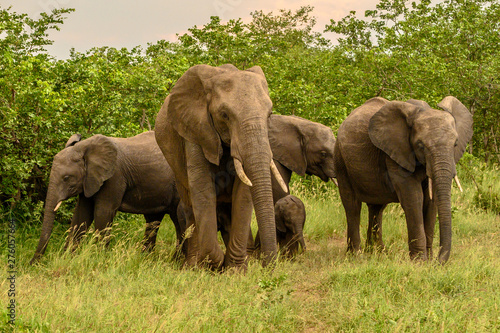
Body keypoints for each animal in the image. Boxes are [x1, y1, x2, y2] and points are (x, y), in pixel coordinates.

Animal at [30, 131, 181, 264]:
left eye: (66, 178)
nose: (33, 264)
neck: (84, 148)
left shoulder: (114, 177)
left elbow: (102, 213)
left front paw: (100, 259)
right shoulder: (89, 180)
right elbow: (81, 215)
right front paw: (67, 258)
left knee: (177, 220)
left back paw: (175, 261)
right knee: (153, 220)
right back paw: (146, 258)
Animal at [154, 64, 288, 270]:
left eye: (270, 114)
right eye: (225, 115)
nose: (268, 266)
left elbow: (243, 194)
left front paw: (235, 270)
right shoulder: (195, 129)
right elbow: (203, 189)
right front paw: (213, 264)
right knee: (190, 208)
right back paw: (193, 265)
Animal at [334, 96, 474, 262]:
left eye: (455, 144)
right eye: (420, 145)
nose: (438, 261)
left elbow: (431, 201)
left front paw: (428, 260)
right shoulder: (395, 152)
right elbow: (414, 198)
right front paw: (419, 262)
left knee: (376, 208)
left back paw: (377, 253)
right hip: (340, 160)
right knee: (352, 206)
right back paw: (356, 256)